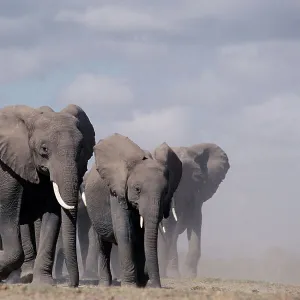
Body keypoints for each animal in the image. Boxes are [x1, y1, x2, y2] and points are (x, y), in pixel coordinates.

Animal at [0, 104, 95, 288]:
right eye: (44, 149)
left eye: (81, 149)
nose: (72, 285)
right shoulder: (8, 170)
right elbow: (7, 213)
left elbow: (52, 216)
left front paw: (43, 284)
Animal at [81, 134, 182, 288]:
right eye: (137, 189)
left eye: (165, 192)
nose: (155, 285)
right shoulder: (117, 192)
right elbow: (126, 233)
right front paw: (130, 285)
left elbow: (141, 237)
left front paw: (141, 282)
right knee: (103, 244)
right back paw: (105, 284)